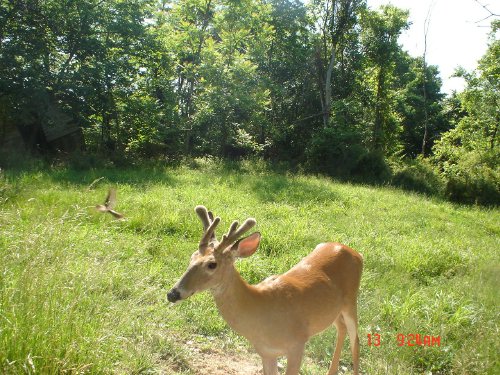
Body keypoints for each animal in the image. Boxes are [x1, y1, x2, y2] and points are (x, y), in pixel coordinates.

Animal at [168, 207, 364, 374]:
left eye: (212, 264)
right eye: (192, 257)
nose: (172, 294)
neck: (261, 309)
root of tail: (356, 253)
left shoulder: (298, 343)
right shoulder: (266, 352)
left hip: (351, 300)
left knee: (356, 339)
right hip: (335, 310)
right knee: (341, 328)